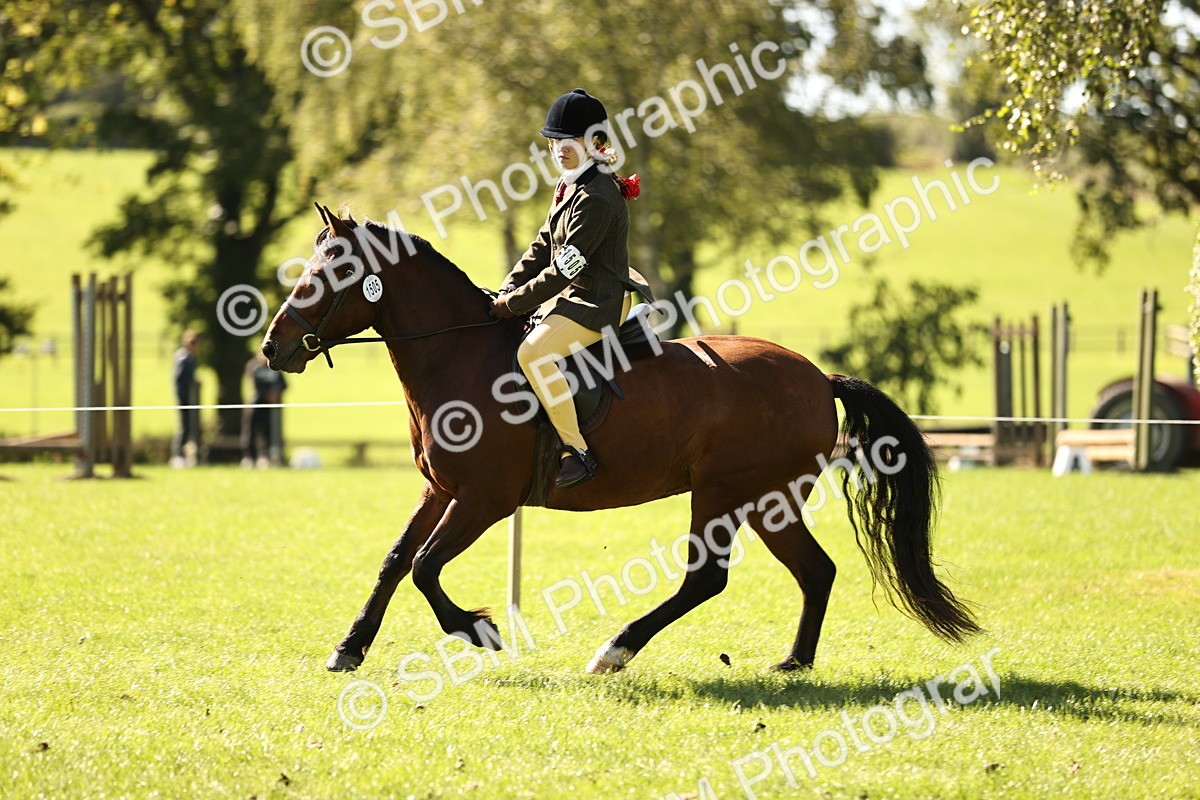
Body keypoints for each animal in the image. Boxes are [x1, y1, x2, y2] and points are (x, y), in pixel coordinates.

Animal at [260, 204, 980, 674]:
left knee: (708, 579)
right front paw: (349, 647)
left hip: (727, 493)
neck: (458, 355)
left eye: (324, 275)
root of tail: (816, 375)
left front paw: (480, 630)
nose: (273, 346)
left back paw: (615, 650)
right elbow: (394, 561)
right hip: (767, 501)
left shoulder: (485, 499)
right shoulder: (441, 489)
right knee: (814, 570)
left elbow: (425, 567)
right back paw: (793, 663)